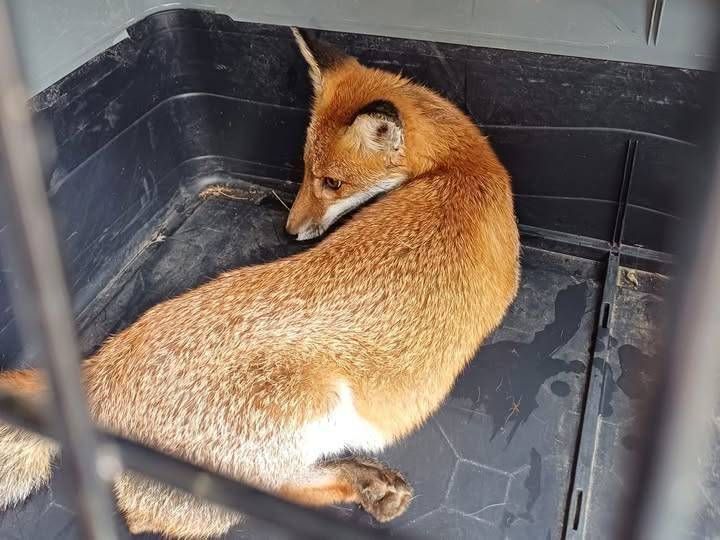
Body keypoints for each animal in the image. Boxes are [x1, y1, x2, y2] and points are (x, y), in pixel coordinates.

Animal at [0, 28, 519, 539]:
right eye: (308, 170)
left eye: (331, 182)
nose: (289, 231)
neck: (459, 166)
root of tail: (95, 368)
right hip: (302, 409)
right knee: (244, 498)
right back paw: (363, 486)